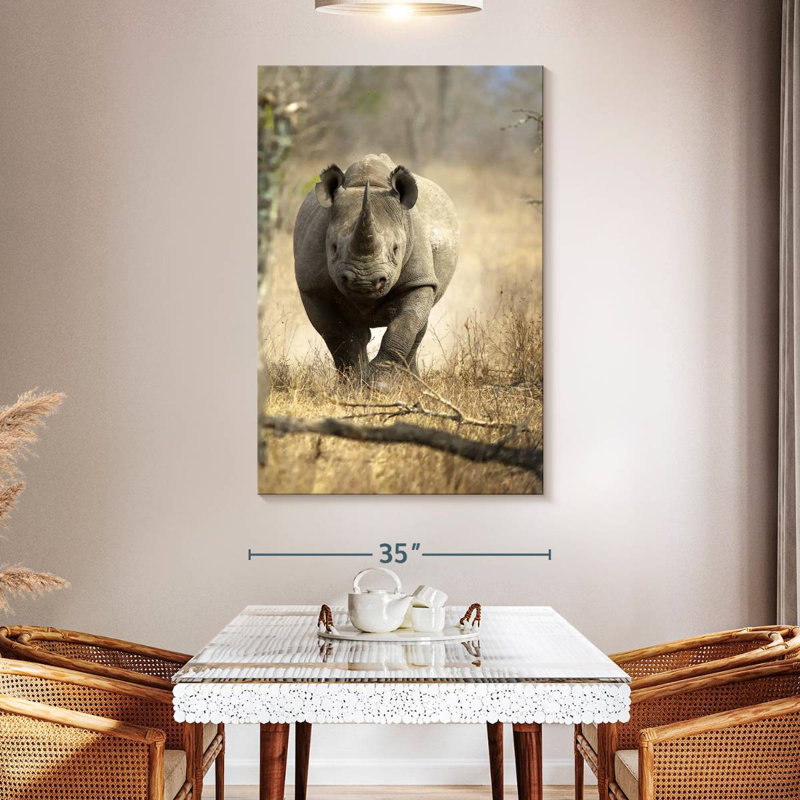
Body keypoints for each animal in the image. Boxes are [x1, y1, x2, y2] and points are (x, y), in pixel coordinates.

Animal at [293, 153, 458, 388]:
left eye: (396, 249)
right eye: (333, 248)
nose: (364, 282)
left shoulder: (419, 280)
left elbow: (405, 324)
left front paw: (379, 383)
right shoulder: (313, 288)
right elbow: (337, 333)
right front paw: (354, 384)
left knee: (420, 324)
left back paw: (412, 382)